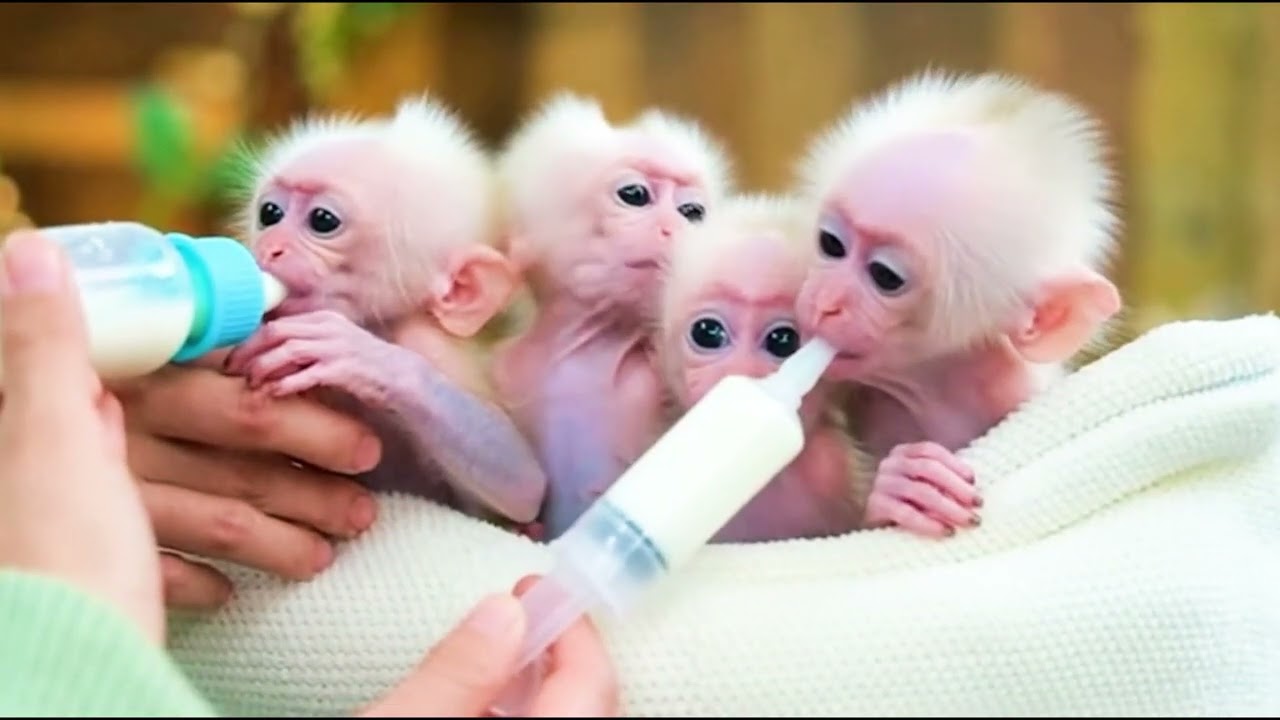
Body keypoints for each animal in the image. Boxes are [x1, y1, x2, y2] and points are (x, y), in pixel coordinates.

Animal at [221, 96, 549, 527]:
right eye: (270, 213)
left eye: (323, 220)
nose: (270, 247)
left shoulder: (425, 341)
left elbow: (524, 486)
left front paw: (361, 356)